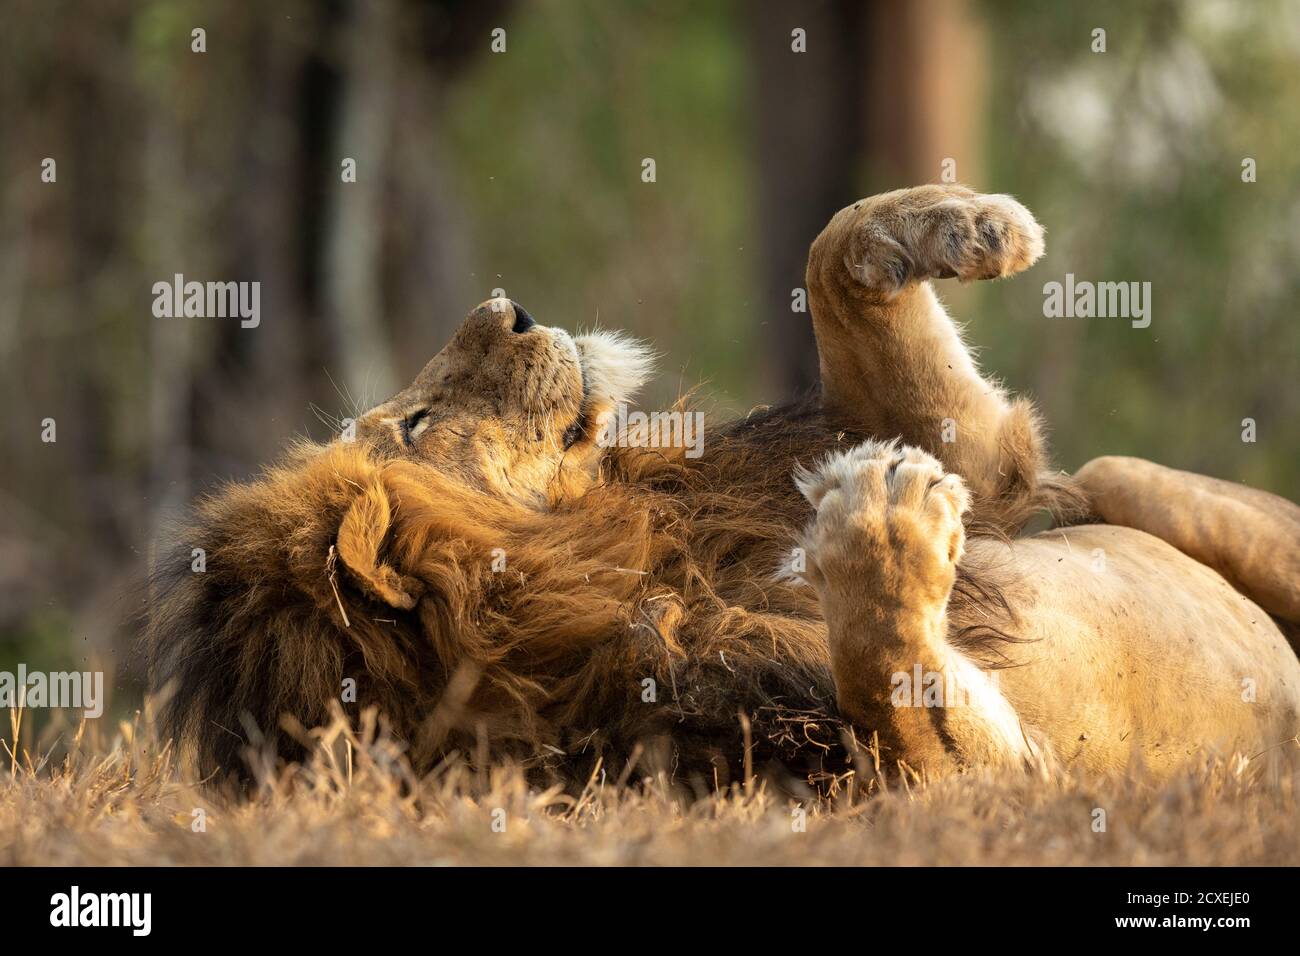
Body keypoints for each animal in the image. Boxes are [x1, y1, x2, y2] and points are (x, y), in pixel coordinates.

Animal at [147, 187, 1300, 785]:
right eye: (418, 425)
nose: (509, 310)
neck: (644, 555)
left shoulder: (973, 454)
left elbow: (831, 249)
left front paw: (960, 223)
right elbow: (890, 684)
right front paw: (879, 526)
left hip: (1134, 482)